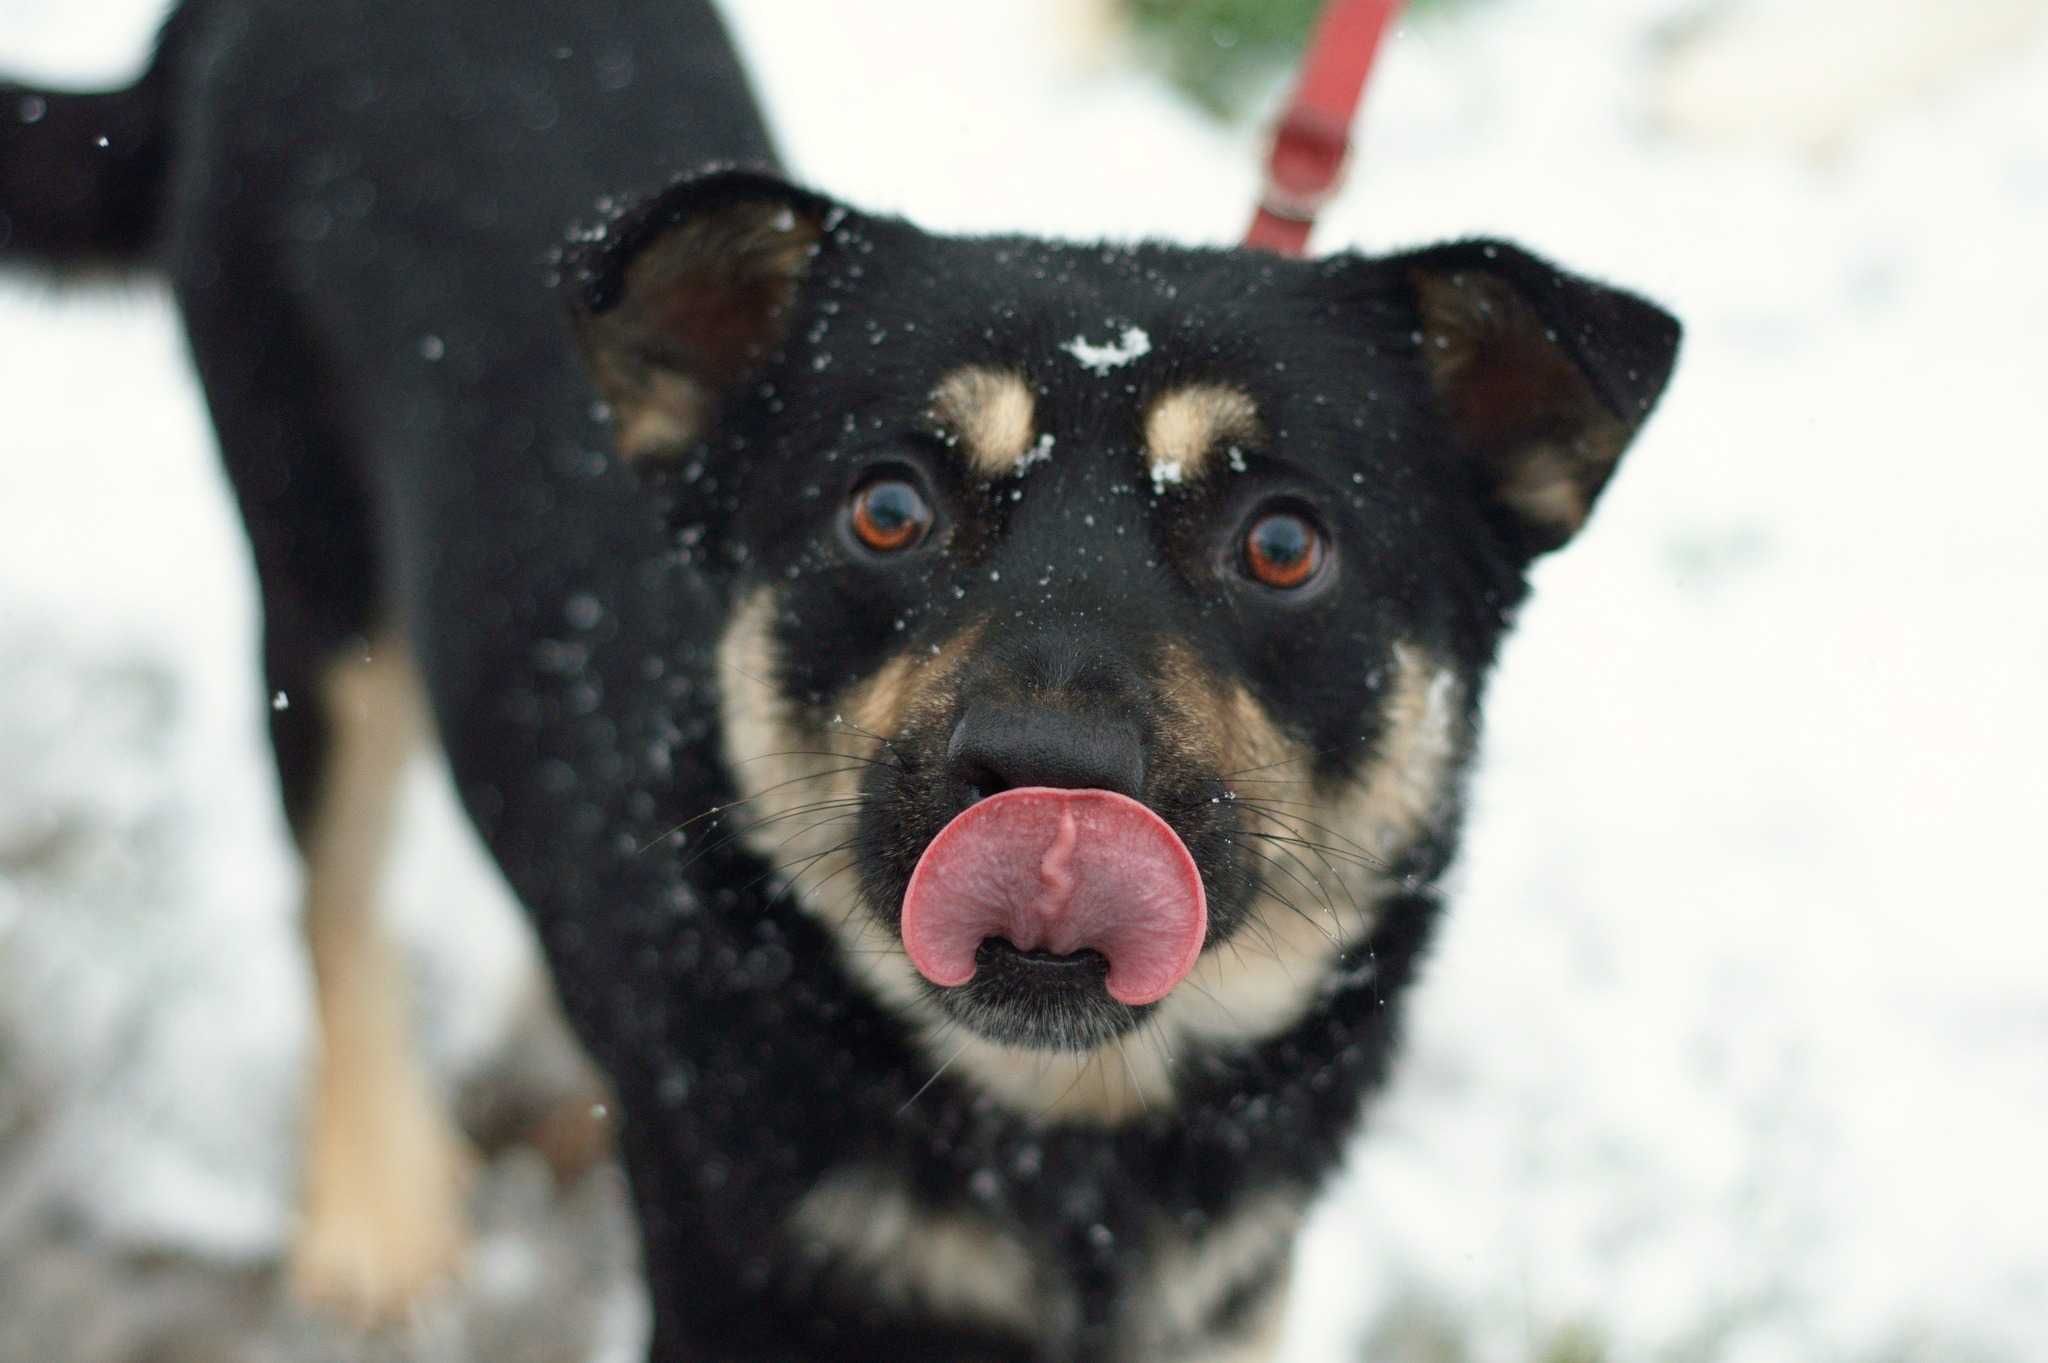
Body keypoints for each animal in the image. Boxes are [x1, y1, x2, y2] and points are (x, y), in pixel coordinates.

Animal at [0, 0, 1679, 1350]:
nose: (1050, 780)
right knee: (334, 897)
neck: (1066, 1135)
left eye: (1283, 541)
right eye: (887, 508)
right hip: (319, 580)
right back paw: (373, 1206)